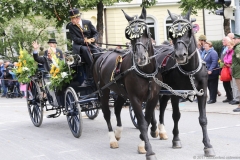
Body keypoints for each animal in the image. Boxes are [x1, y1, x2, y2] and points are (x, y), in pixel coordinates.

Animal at [93, 7, 162, 159]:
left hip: (120, 92)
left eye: (146, 32)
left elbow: (148, 119)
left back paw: (118, 132)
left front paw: (143, 143)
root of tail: (102, 55)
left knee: (117, 108)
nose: (141, 58)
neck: (146, 72)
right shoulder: (135, 98)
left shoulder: (153, 98)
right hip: (104, 90)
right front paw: (149, 150)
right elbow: (142, 123)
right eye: (130, 36)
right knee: (107, 113)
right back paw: (112, 138)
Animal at [154, 9, 216, 158]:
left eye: (188, 31)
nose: (180, 55)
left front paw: (207, 145)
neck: (190, 70)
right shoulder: (176, 93)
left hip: (165, 91)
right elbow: (176, 115)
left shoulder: (202, 92)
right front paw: (176, 139)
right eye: (171, 33)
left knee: (162, 106)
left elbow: (203, 119)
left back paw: (161, 130)